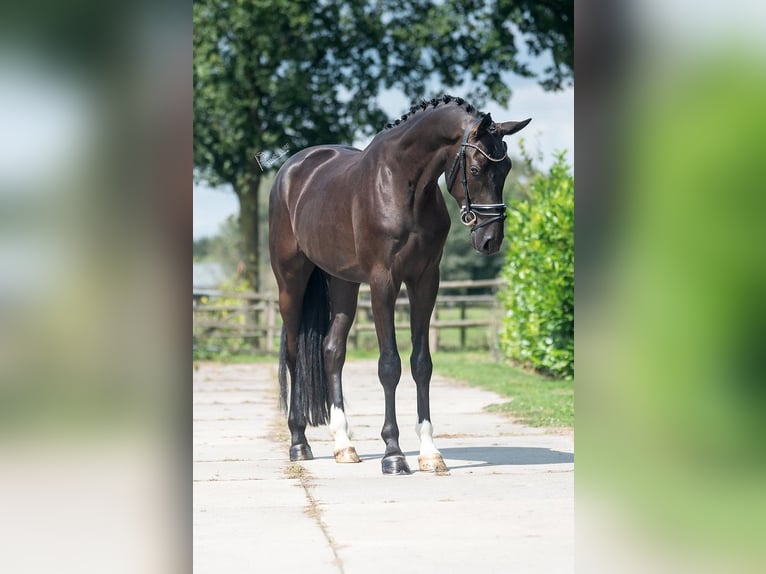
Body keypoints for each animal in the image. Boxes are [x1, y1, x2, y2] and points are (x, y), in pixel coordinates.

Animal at [268, 95, 528, 476]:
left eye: (506, 168)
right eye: (477, 168)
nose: (490, 240)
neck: (403, 185)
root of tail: (291, 171)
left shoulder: (425, 280)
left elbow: (421, 363)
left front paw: (430, 452)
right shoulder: (383, 283)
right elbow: (389, 365)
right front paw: (393, 454)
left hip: (343, 283)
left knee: (332, 350)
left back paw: (344, 445)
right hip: (290, 280)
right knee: (292, 352)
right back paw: (299, 443)